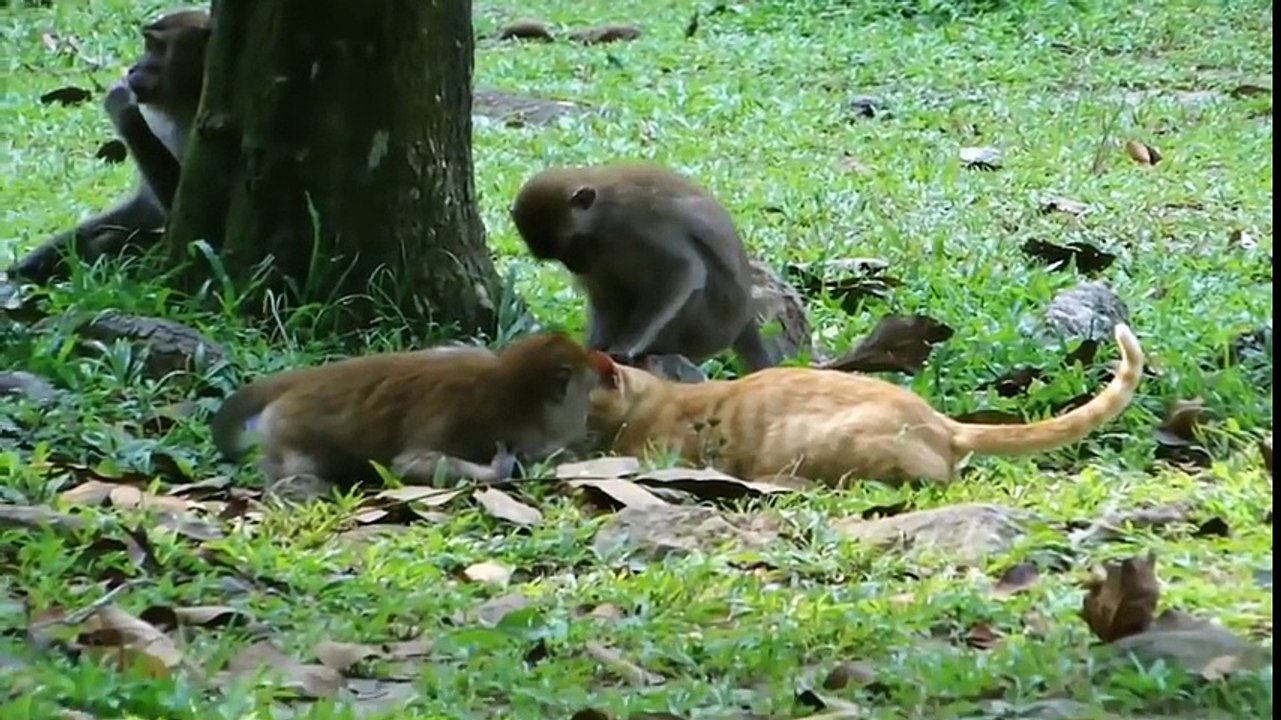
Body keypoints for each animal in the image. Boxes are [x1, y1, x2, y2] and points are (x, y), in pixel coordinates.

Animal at [8, 8, 211, 284]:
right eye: (148, 45)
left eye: (158, 48)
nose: (133, 68)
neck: (188, 100)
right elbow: (146, 208)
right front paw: (38, 259)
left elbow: (185, 217)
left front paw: (122, 104)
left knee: (114, 242)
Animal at [209, 332, 617, 488]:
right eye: (586, 396)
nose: (583, 424)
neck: (513, 390)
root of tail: (301, 379)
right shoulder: (473, 418)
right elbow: (409, 463)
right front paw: (499, 471)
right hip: (287, 425)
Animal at [509, 161, 778, 374]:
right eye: (560, 257)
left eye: (574, 243)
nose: (575, 266)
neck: (602, 218)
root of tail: (744, 317)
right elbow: (606, 298)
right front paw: (591, 349)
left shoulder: (634, 222)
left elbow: (682, 269)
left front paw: (623, 348)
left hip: (707, 326)